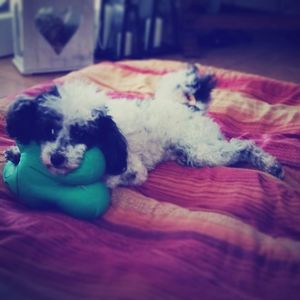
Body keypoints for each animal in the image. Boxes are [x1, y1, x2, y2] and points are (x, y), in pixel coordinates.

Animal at [4, 65, 284, 188]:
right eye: (49, 130)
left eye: (82, 133)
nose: (57, 158)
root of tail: (191, 108)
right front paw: (15, 153)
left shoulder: (134, 170)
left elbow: (114, 177)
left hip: (199, 150)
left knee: (243, 145)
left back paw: (271, 165)